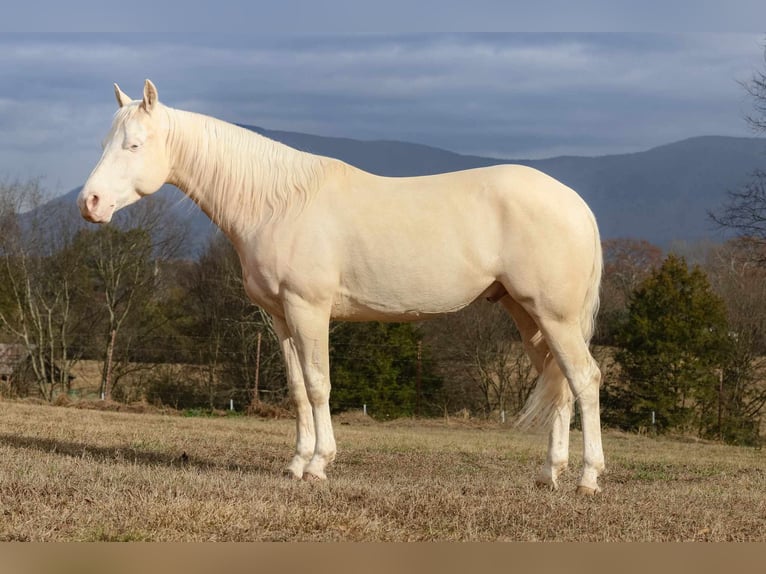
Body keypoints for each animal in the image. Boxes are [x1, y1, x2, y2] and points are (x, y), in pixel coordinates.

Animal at [76, 80, 608, 496]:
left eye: (134, 146)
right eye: (103, 142)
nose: (90, 202)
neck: (278, 203)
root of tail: (577, 205)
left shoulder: (309, 309)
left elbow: (318, 385)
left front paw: (318, 465)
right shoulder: (280, 317)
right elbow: (296, 389)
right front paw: (295, 464)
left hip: (554, 317)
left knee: (584, 380)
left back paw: (587, 478)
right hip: (527, 315)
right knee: (559, 384)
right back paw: (548, 475)